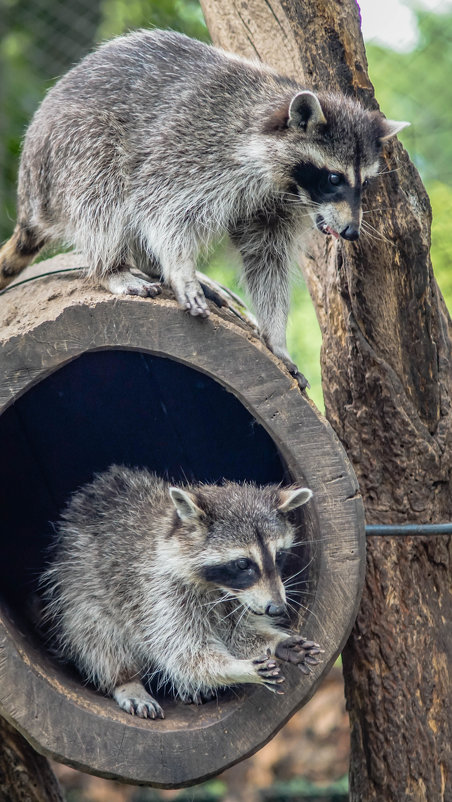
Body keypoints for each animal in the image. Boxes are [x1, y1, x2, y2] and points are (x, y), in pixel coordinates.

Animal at [0, 28, 410, 384]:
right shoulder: (196, 148)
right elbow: (163, 207)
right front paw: (179, 269)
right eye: (334, 178)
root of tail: (29, 190)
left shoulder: (275, 203)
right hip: (69, 148)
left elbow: (267, 258)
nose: (351, 231)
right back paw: (111, 267)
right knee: (103, 189)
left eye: (366, 182)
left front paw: (275, 336)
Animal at [39, 462, 322, 720]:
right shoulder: (158, 592)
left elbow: (241, 634)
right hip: (78, 587)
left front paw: (277, 641)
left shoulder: (241, 600)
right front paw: (236, 667)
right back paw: (125, 680)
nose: (277, 608)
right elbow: (184, 652)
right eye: (243, 564)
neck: (219, 589)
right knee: (97, 637)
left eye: (279, 556)